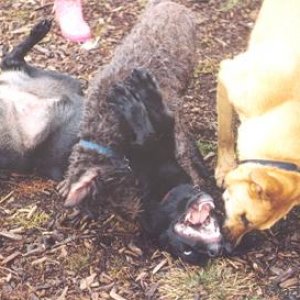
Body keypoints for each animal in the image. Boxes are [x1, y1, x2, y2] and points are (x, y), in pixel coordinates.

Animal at [108, 69, 223, 264]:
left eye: (186, 252)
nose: (212, 251)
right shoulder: (164, 144)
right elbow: (165, 119)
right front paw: (145, 86)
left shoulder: (146, 148)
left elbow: (150, 130)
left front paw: (131, 102)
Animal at [217, 0, 300, 251]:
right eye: (245, 218)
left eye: (253, 226)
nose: (229, 248)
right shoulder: (227, 74)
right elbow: (225, 135)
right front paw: (224, 168)